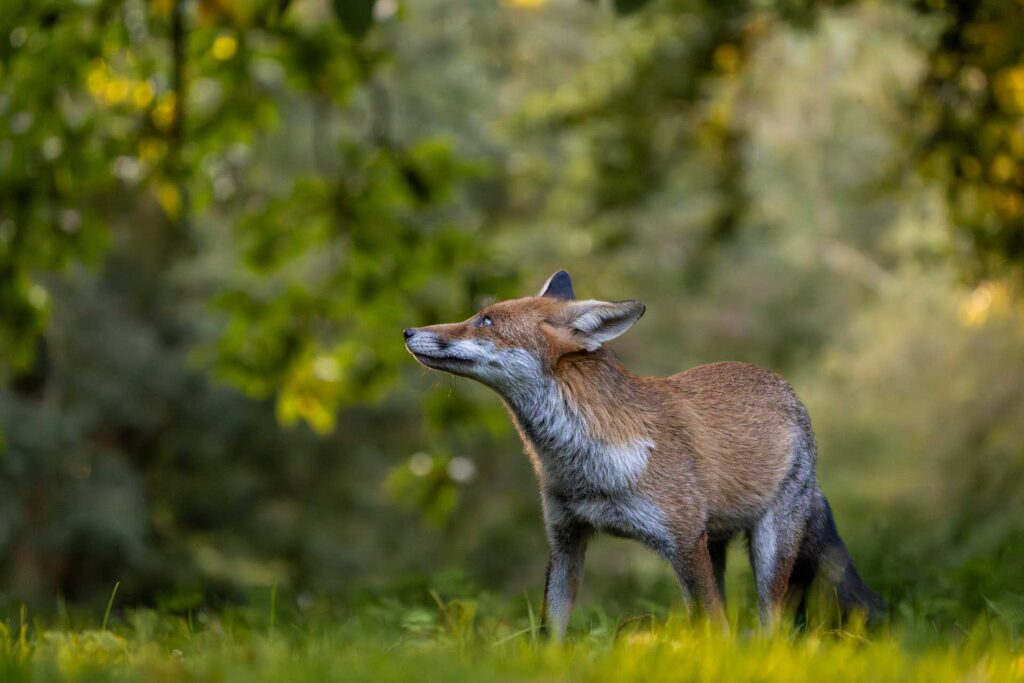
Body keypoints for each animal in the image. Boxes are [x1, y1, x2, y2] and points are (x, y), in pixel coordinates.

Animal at [403, 270, 884, 639]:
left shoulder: (682, 542)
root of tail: (783, 386)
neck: (587, 469)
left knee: (772, 624)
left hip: (768, 549)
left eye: (484, 321)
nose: (408, 331)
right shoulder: (566, 539)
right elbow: (550, 631)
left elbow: (714, 629)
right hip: (714, 545)